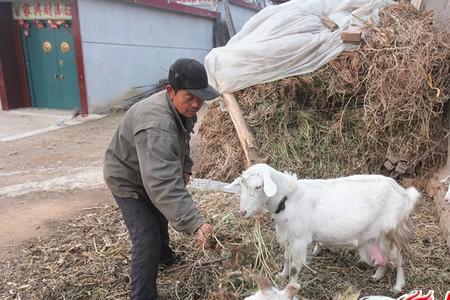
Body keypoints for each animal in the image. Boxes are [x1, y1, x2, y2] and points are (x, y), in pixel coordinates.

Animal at [229, 163, 422, 292]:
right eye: (242, 185)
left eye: (258, 186)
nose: (243, 212)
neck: (287, 198)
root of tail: (406, 195)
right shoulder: (288, 235)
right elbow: (286, 258)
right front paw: (281, 275)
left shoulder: (300, 238)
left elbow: (295, 266)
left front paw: (292, 286)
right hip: (376, 237)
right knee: (384, 258)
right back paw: (377, 276)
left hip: (391, 231)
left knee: (399, 258)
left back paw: (398, 286)